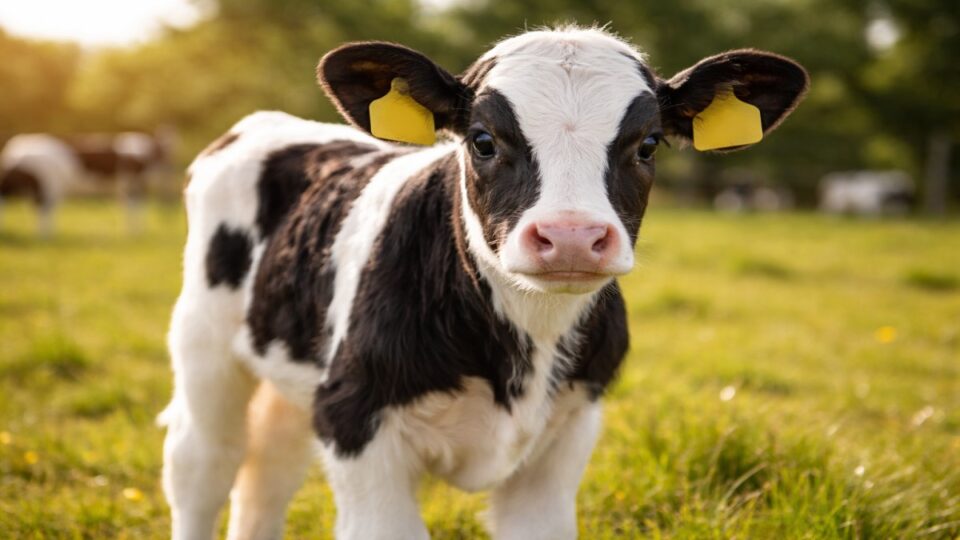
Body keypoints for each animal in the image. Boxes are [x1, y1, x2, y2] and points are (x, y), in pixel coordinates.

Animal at [0, 129, 174, 235]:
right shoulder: (47, 189)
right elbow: (44, 211)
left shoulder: (47, 187)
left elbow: (44, 211)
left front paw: (44, 236)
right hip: (128, 183)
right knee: (131, 205)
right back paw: (132, 231)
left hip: (134, 182)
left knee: (135, 205)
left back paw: (135, 232)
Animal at [162, 26, 808, 540]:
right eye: (483, 140)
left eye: (648, 144)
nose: (571, 236)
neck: (526, 347)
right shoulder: (357, 422)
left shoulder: (569, 432)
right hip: (204, 345)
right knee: (203, 465)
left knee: (267, 471)